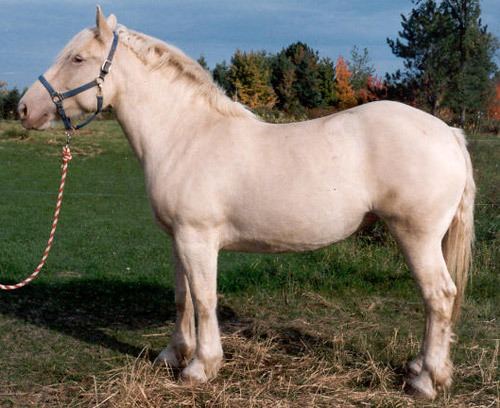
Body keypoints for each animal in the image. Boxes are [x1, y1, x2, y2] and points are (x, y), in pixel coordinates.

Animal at [17, 7, 474, 400]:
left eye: (78, 58)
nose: (23, 108)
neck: (186, 134)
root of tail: (449, 133)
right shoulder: (178, 239)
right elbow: (183, 297)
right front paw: (173, 355)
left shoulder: (198, 238)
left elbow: (205, 299)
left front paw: (201, 367)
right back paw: (420, 368)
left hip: (416, 237)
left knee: (439, 297)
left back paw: (426, 381)